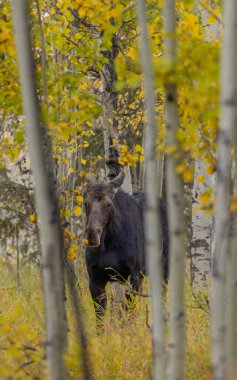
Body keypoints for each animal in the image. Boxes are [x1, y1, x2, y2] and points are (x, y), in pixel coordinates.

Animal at [84, 171, 168, 326]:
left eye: (108, 204)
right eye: (85, 202)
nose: (92, 235)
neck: (109, 244)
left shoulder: (132, 275)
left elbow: (129, 311)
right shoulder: (95, 278)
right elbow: (100, 318)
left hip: (163, 266)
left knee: (163, 294)